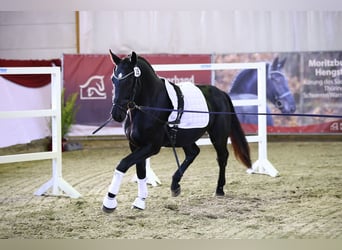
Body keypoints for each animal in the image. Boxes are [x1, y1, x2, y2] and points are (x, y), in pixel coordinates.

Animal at [101, 50, 251, 211]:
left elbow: (123, 164)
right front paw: (140, 201)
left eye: (129, 81)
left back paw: (219, 189)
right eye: (113, 80)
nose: (116, 114)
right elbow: (140, 172)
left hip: (218, 136)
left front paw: (109, 201)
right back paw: (175, 185)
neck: (149, 106)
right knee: (193, 153)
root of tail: (221, 93)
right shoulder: (136, 145)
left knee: (222, 157)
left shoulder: (151, 147)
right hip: (186, 138)